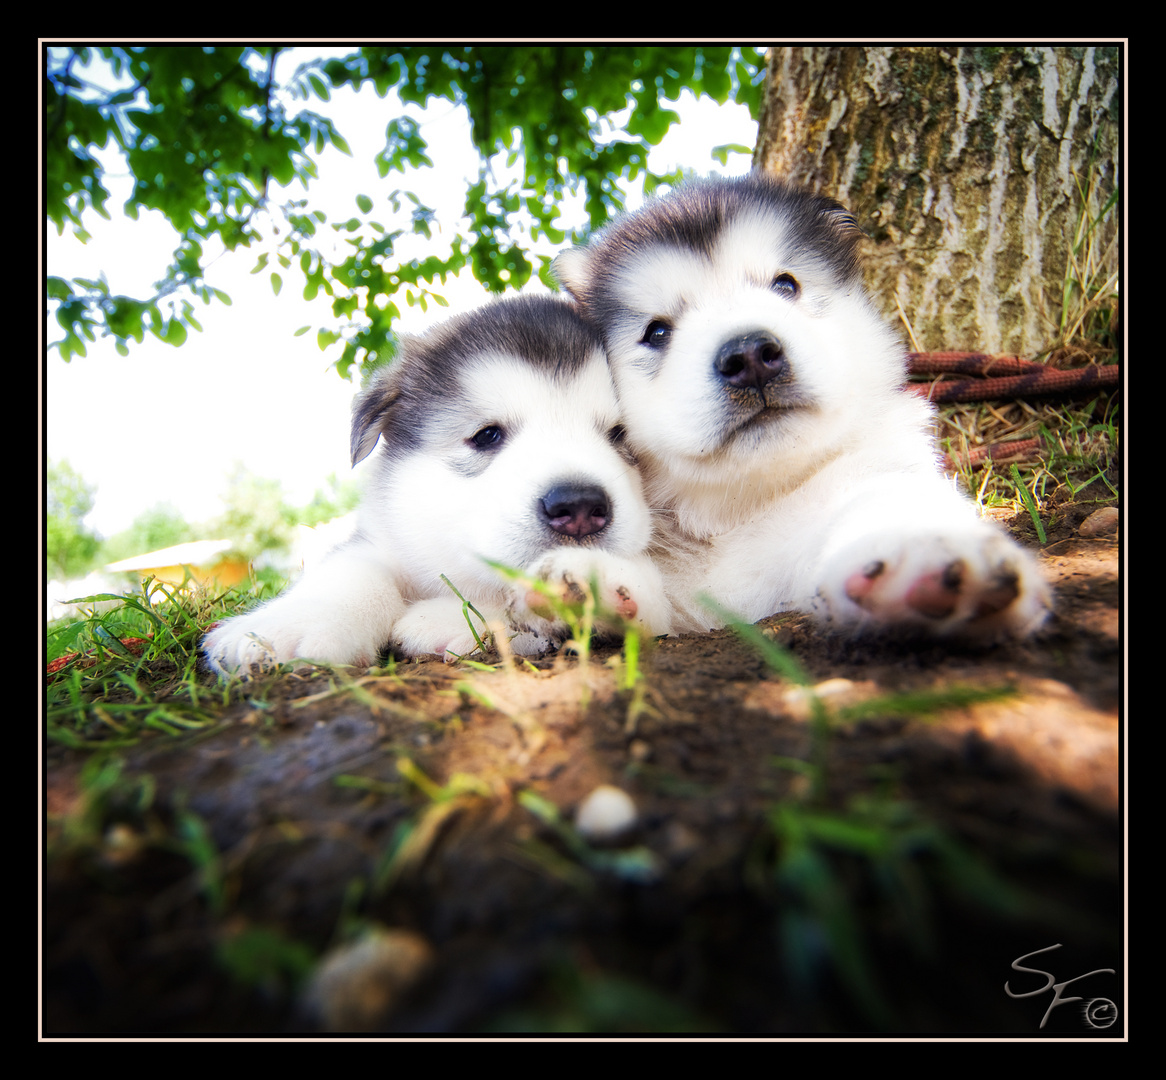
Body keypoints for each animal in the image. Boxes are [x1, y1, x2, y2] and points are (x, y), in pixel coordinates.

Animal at [205, 296, 671, 676]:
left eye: (619, 435)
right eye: (487, 435)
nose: (579, 506)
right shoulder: (382, 539)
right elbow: (353, 569)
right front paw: (293, 623)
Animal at [550, 173, 1054, 639]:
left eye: (786, 286)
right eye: (656, 332)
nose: (750, 356)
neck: (740, 509)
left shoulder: (871, 470)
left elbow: (883, 500)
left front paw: (923, 552)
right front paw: (590, 582)